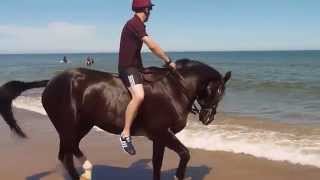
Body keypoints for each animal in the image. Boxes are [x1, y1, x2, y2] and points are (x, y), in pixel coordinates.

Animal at [0, 58, 230, 179]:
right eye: (217, 91)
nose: (207, 118)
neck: (174, 88)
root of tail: (51, 82)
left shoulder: (159, 137)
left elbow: (157, 163)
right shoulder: (162, 133)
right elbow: (185, 154)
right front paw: (178, 175)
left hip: (81, 125)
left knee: (67, 152)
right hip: (69, 125)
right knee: (68, 152)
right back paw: (85, 169)